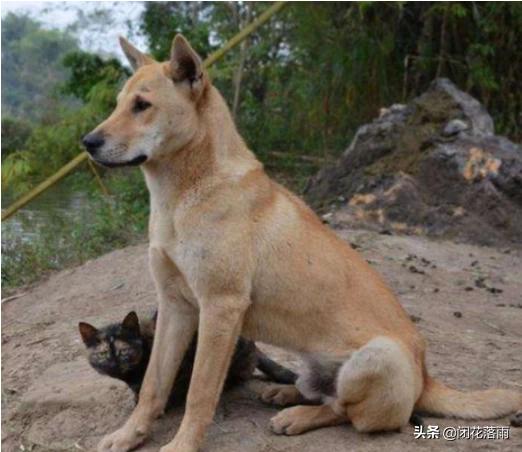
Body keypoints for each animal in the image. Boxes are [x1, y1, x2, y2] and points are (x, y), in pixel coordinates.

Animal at [82, 35, 520, 452]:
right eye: (119, 104)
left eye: (142, 105)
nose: (87, 142)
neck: (184, 193)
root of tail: (427, 377)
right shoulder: (175, 307)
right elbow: (153, 386)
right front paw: (129, 435)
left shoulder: (220, 307)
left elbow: (199, 393)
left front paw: (183, 445)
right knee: (320, 393)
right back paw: (284, 393)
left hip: (377, 357)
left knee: (344, 410)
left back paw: (297, 417)